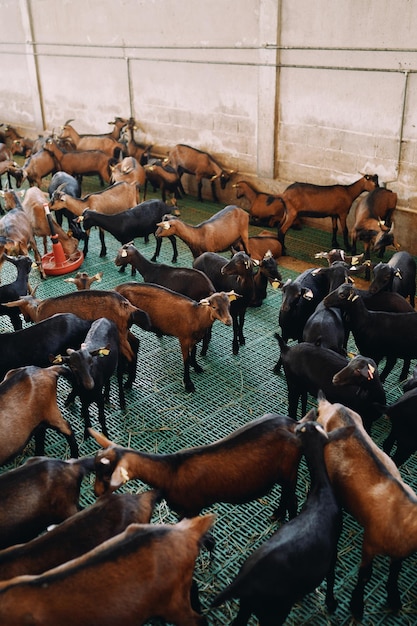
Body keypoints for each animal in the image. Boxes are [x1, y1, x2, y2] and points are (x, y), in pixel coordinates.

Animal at [90, 412, 300, 520]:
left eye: (107, 475)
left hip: (290, 470)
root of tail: (293, 423)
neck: (170, 472)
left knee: (292, 497)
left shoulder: (193, 509)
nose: (95, 492)